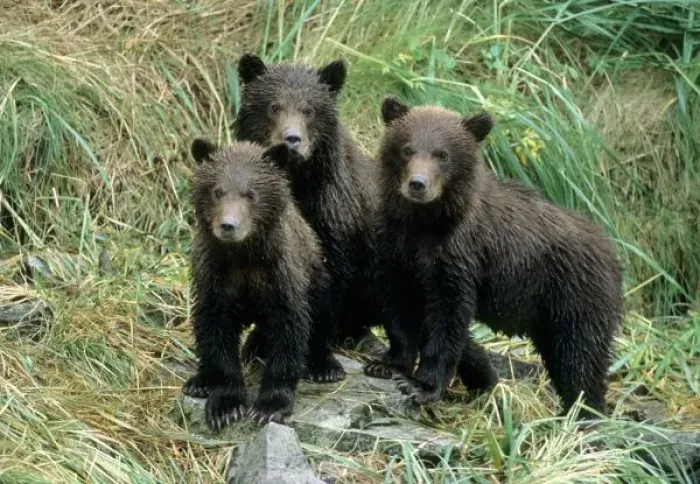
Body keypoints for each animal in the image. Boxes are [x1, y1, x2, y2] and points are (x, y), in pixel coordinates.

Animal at [181, 138, 342, 430]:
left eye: (251, 194)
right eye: (217, 191)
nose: (228, 225)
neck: (244, 256)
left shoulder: (280, 278)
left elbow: (288, 331)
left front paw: (270, 406)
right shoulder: (215, 279)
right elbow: (215, 331)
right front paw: (226, 406)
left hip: (318, 276)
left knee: (323, 316)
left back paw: (324, 366)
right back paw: (200, 380)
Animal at [233, 53, 382, 365]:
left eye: (309, 110)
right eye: (274, 106)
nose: (291, 139)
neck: (298, 180)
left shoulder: (331, 216)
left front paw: (320, 360)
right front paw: (256, 345)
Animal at [364, 97, 623, 417]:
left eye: (443, 154)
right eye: (407, 149)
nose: (418, 184)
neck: (425, 224)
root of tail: (612, 252)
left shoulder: (458, 258)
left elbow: (447, 320)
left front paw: (423, 387)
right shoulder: (396, 250)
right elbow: (401, 308)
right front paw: (387, 364)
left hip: (576, 297)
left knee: (580, 357)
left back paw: (584, 413)